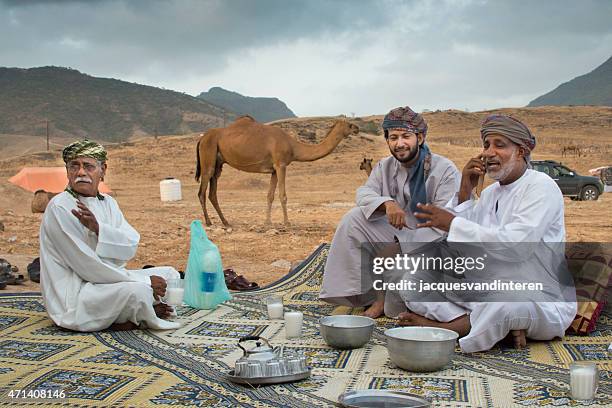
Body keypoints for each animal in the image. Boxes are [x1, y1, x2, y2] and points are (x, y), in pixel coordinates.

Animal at [196, 116, 358, 226]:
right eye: (350, 125)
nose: (357, 128)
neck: (293, 146)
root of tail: (202, 138)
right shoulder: (281, 165)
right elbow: (282, 195)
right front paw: (287, 222)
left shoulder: (274, 169)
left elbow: (270, 196)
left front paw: (267, 222)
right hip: (208, 155)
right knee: (202, 191)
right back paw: (209, 222)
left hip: (218, 163)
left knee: (213, 191)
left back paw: (226, 222)